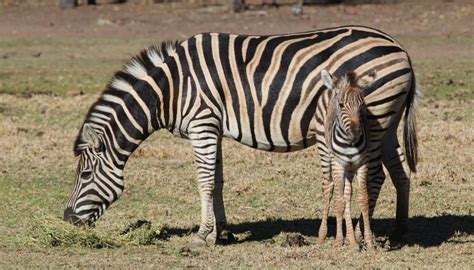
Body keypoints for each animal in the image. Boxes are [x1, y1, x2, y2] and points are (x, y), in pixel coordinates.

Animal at [64, 25, 418, 247]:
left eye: (85, 174)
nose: (67, 220)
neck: (171, 90)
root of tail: (400, 48)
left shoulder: (202, 124)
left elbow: (205, 181)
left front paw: (202, 235)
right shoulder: (213, 128)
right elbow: (218, 180)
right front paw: (222, 232)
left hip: (372, 118)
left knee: (375, 175)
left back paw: (361, 231)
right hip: (385, 121)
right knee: (399, 172)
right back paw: (399, 231)